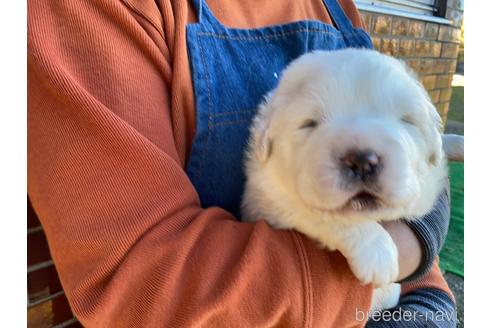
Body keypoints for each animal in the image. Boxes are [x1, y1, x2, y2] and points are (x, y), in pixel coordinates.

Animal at [241, 48, 450, 312]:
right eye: (308, 123)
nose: (362, 161)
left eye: (406, 120)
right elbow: (320, 214)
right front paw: (378, 253)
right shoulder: (265, 200)